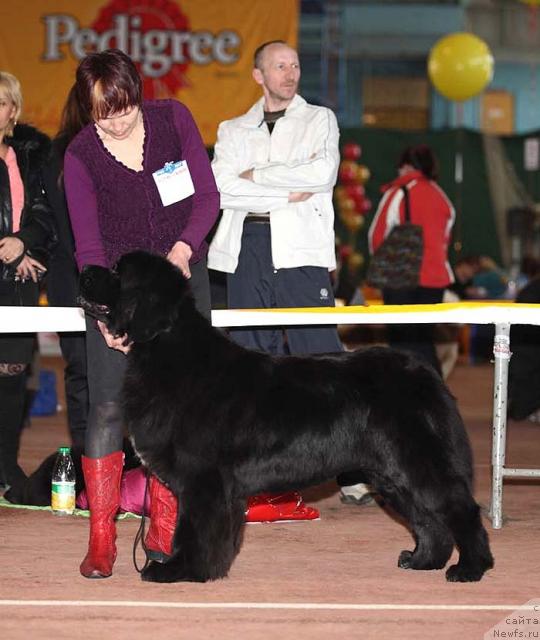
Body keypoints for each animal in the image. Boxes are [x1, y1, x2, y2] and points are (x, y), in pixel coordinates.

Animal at [79, 250, 494, 584]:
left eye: (117, 271)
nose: (83, 268)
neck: (167, 349)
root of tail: (426, 375)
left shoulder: (203, 480)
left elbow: (194, 530)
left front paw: (181, 570)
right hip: (391, 473)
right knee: (428, 518)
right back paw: (423, 560)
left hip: (416, 462)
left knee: (459, 509)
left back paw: (470, 568)